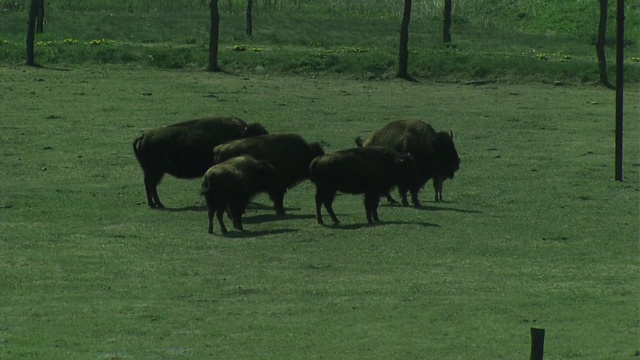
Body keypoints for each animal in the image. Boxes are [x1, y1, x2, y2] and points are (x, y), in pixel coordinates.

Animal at [132, 116, 268, 210]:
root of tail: (144, 136)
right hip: (154, 171)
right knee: (150, 185)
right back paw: (156, 204)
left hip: (154, 172)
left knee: (151, 185)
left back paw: (156, 204)